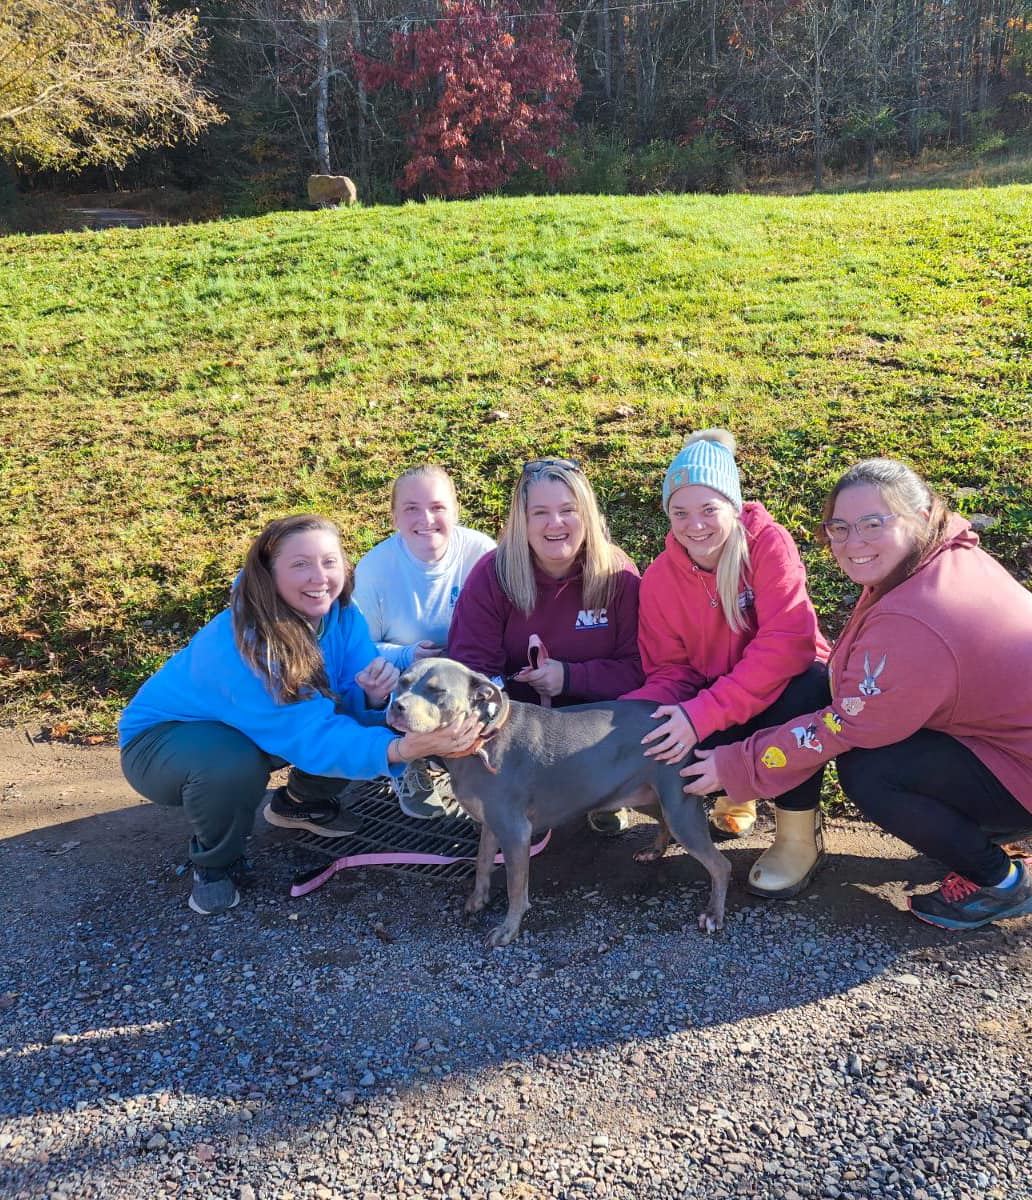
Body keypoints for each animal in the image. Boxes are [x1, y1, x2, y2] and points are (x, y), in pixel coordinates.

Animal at [386, 657, 734, 945]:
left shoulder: (515, 832)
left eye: (437, 691)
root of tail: (678, 719)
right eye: (401, 682)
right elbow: (482, 863)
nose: (396, 707)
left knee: (720, 865)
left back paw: (713, 914)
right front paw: (477, 900)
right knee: (663, 822)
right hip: (645, 795)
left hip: (678, 806)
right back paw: (654, 850)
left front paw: (508, 930)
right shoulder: (491, 824)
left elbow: (515, 888)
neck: (481, 742)